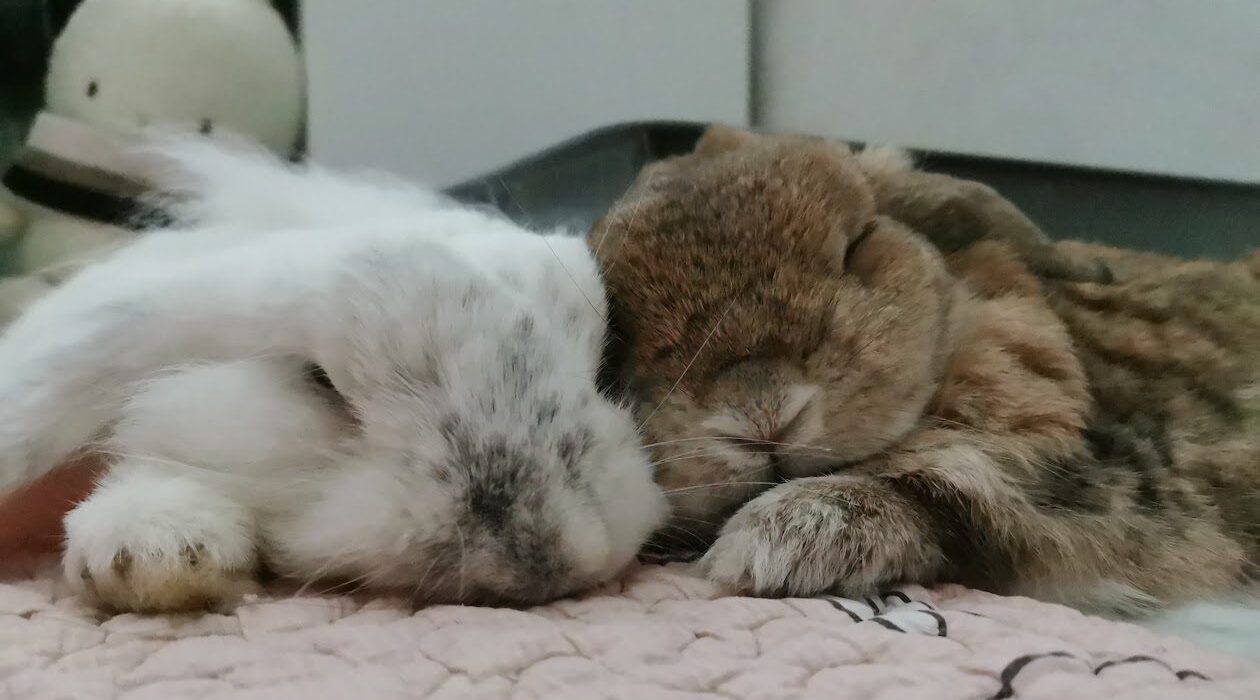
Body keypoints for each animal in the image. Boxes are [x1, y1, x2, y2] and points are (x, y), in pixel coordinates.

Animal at [589, 125, 1259, 616]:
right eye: (619, 335)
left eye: (858, 244)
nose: (763, 416)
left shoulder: (1090, 487)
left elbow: (949, 493)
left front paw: (768, 544)